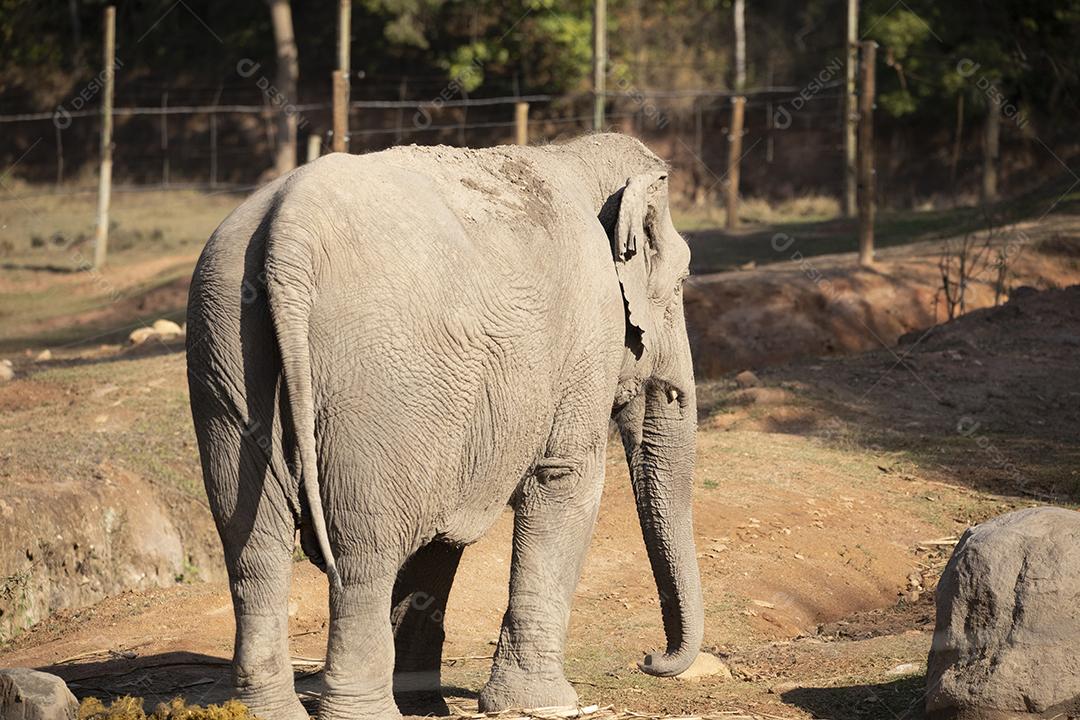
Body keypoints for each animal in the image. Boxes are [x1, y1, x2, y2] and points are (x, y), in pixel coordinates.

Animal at [185, 132, 703, 720]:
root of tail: (288, 231)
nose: (649, 659)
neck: (575, 157)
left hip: (225, 346)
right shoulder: (588, 331)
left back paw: (267, 709)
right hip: (377, 382)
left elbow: (442, 528)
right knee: (362, 551)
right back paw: (366, 711)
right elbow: (564, 477)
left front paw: (426, 704)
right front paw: (546, 705)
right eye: (681, 280)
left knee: (253, 544)